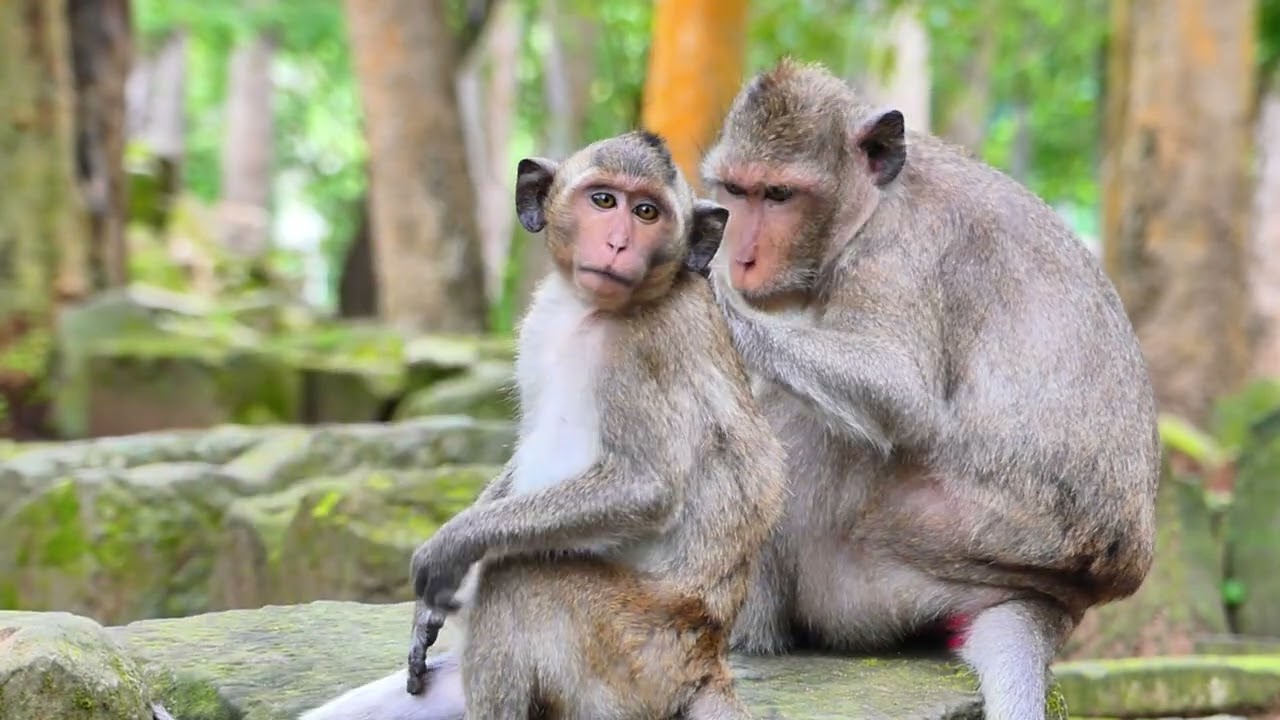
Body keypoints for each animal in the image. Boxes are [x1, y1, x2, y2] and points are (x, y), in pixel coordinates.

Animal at [298, 130, 787, 720]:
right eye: (604, 200)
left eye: (647, 212)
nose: (618, 243)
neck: (589, 310)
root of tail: (708, 660)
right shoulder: (539, 325)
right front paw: (425, 613)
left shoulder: (644, 349)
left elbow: (644, 487)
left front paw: (452, 545)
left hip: (631, 661)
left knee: (519, 576)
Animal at [688, 59, 1160, 720]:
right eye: (737, 189)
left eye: (778, 195)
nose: (743, 257)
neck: (870, 206)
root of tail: (1065, 599)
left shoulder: (899, 251)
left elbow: (899, 390)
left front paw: (711, 297)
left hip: (904, 555)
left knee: (808, 419)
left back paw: (748, 634)